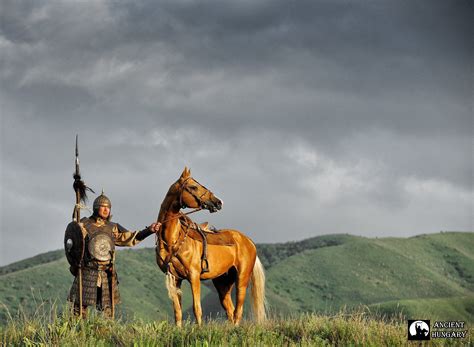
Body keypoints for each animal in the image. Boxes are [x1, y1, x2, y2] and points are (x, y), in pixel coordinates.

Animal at [156, 167, 266, 328]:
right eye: (193, 187)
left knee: (238, 310)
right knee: (230, 310)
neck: (171, 239)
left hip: (242, 279)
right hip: (223, 284)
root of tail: (249, 241)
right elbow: (177, 311)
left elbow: (197, 308)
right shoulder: (175, 278)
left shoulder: (194, 276)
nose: (218, 202)